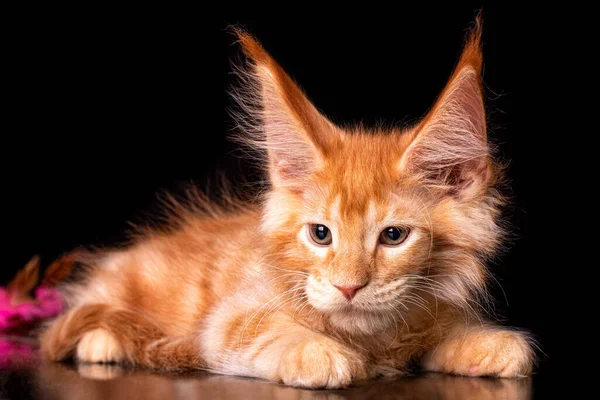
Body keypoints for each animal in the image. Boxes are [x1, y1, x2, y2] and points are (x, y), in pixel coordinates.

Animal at [37, 21, 536, 388]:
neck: (371, 339)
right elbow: (261, 331)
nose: (347, 288)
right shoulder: (232, 316)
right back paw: (100, 342)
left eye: (394, 236)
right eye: (321, 234)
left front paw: (482, 342)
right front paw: (317, 351)